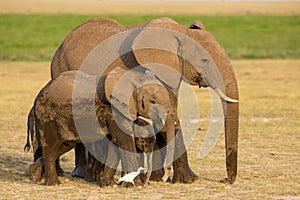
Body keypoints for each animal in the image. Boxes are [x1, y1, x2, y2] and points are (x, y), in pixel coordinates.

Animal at [51, 16, 239, 183]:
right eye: (205, 60)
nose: (225, 180)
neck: (179, 32)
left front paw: (162, 178)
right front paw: (188, 180)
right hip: (62, 68)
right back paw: (72, 174)